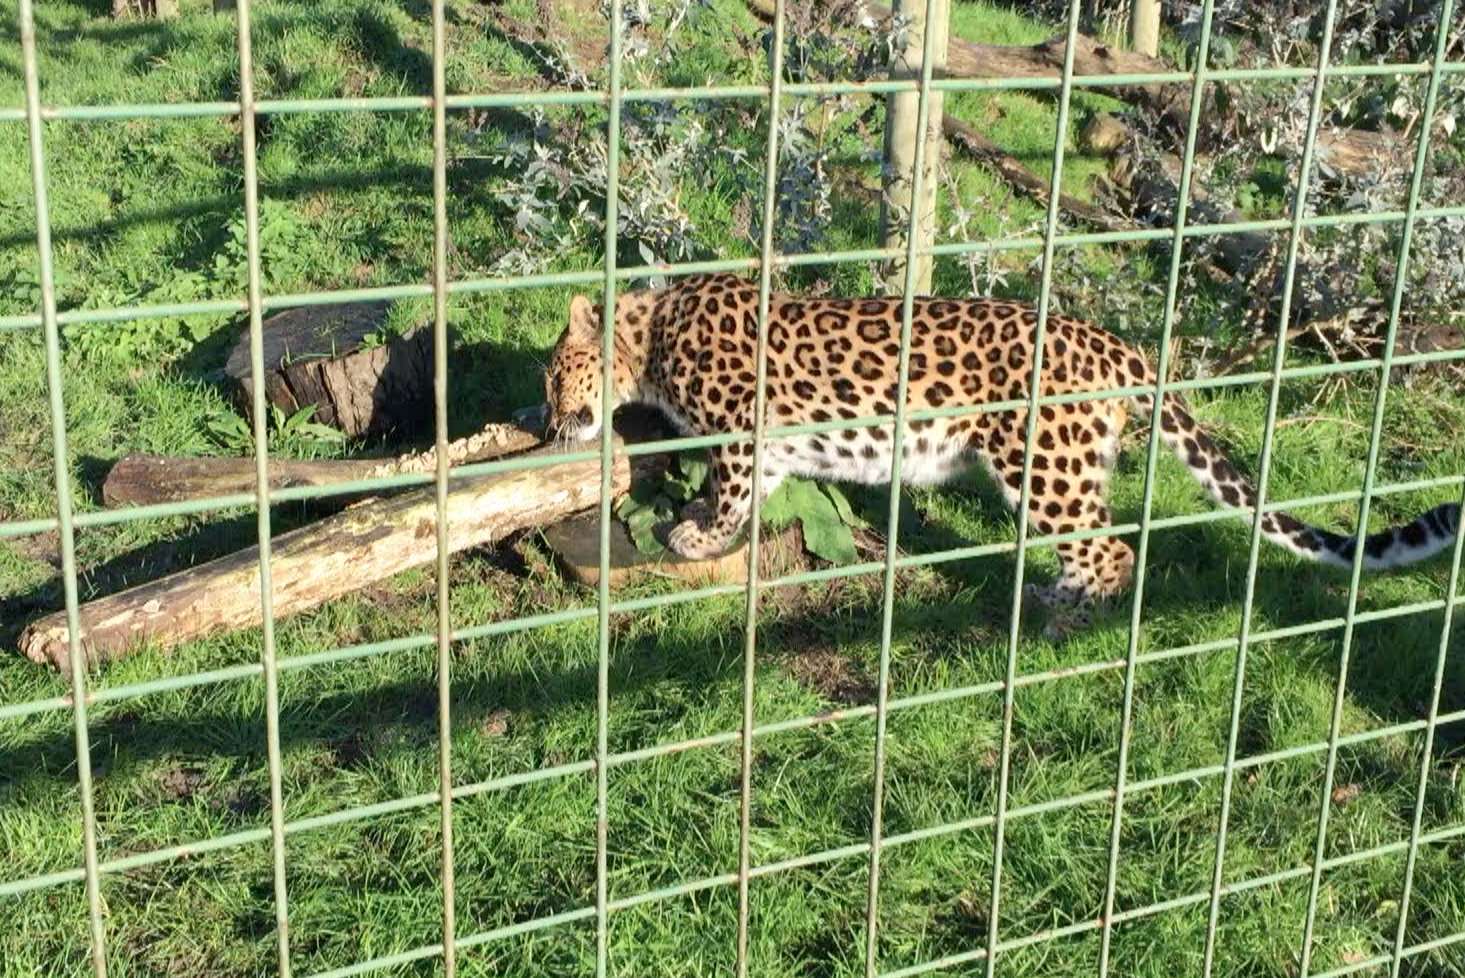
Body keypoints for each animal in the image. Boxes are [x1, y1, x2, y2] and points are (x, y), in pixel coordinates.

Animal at [544, 270, 1459, 635]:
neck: (651, 335)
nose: (548, 422)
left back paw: (1065, 618)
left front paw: (696, 532)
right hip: (1073, 465)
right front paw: (701, 526)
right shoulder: (766, 446)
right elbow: (752, 491)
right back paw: (1056, 593)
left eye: (554, 375)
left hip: (1041, 464)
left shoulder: (741, 429)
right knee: (1098, 542)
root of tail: (1116, 345)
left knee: (1113, 549)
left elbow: (732, 491)